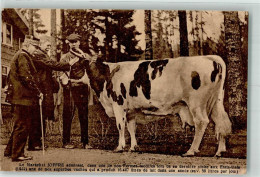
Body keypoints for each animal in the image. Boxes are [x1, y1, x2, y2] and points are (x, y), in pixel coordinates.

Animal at [61, 55, 232, 156]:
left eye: (74, 67)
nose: (61, 79)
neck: (108, 76)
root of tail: (209, 58)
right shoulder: (130, 111)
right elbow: (131, 128)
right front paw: (133, 147)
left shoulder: (118, 104)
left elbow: (120, 126)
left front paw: (120, 147)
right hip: (215, 103)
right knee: (221, 122)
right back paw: (219, 151)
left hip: (197, 103)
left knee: (201, 122)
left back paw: (191, 150)